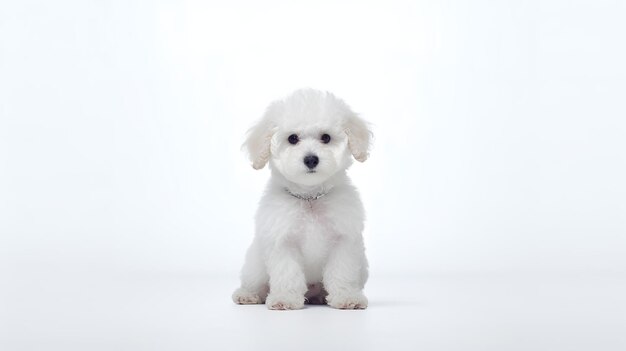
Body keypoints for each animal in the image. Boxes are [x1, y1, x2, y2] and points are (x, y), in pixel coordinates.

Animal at [233, 88, 370, 310]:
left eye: (326, 137)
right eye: (293, 138)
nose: (311, 159)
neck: (310, 197)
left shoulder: (344, 241)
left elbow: (342, 272)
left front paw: (346, 297)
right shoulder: (282, 242)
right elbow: (287, 273)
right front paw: (285, 298)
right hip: (255, 265)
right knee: (255, 283)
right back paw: (248, 295)